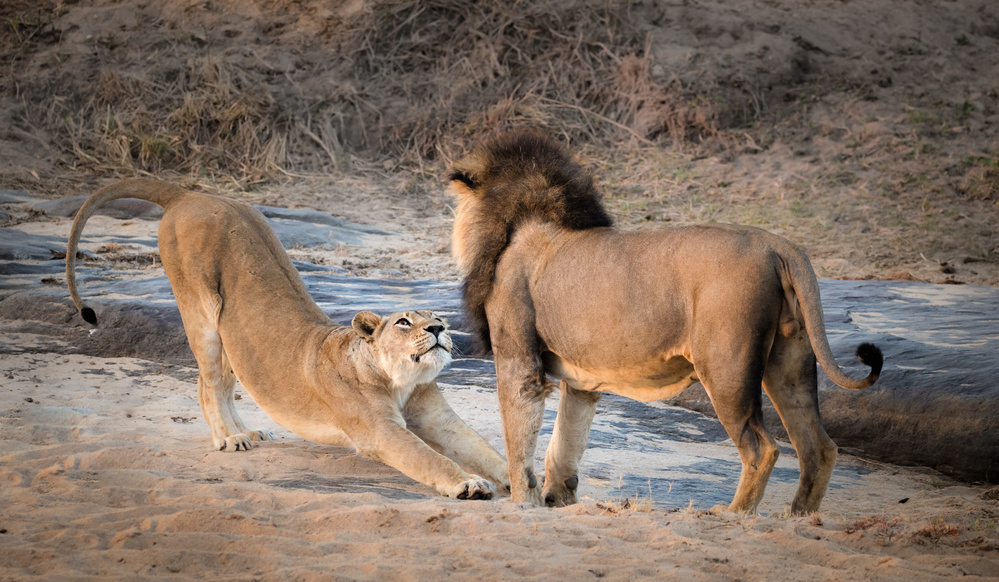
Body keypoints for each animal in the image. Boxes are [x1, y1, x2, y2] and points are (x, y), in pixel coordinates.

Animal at [66, 179, 512, 502]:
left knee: (221, 381)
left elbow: (482, 448)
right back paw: (229, 438)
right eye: (404, 322)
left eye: (439, 318)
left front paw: (520, 477)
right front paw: (469, 484)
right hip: (201, 310)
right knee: (206, 382)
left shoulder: (439, 419)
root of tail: (189, 193)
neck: (401, 381)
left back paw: (249, 433)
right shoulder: (378, 431)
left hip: (234, 336)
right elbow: (428, 459)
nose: (438, 331)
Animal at [446, 131, 884, 516]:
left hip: (726, 368)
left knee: (763, 449)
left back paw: (732, 515)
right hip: (789, 362)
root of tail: (777, 245)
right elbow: (566, 441)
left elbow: (519, 446)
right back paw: (797, 518)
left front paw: (524, 504)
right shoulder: (581, 380)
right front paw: (558, 499)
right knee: (818, 447)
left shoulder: (519, 362)